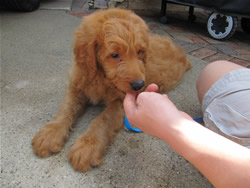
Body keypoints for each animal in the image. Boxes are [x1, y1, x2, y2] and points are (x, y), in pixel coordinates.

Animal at [32, 8, 190, 173]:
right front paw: (51, 133)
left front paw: (88, 146)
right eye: (115, 55)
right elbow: (66, 108)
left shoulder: (120, 101)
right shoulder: (77, 86)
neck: (101, 78)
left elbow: (103, 119)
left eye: (140, 52)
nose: (139, 85)